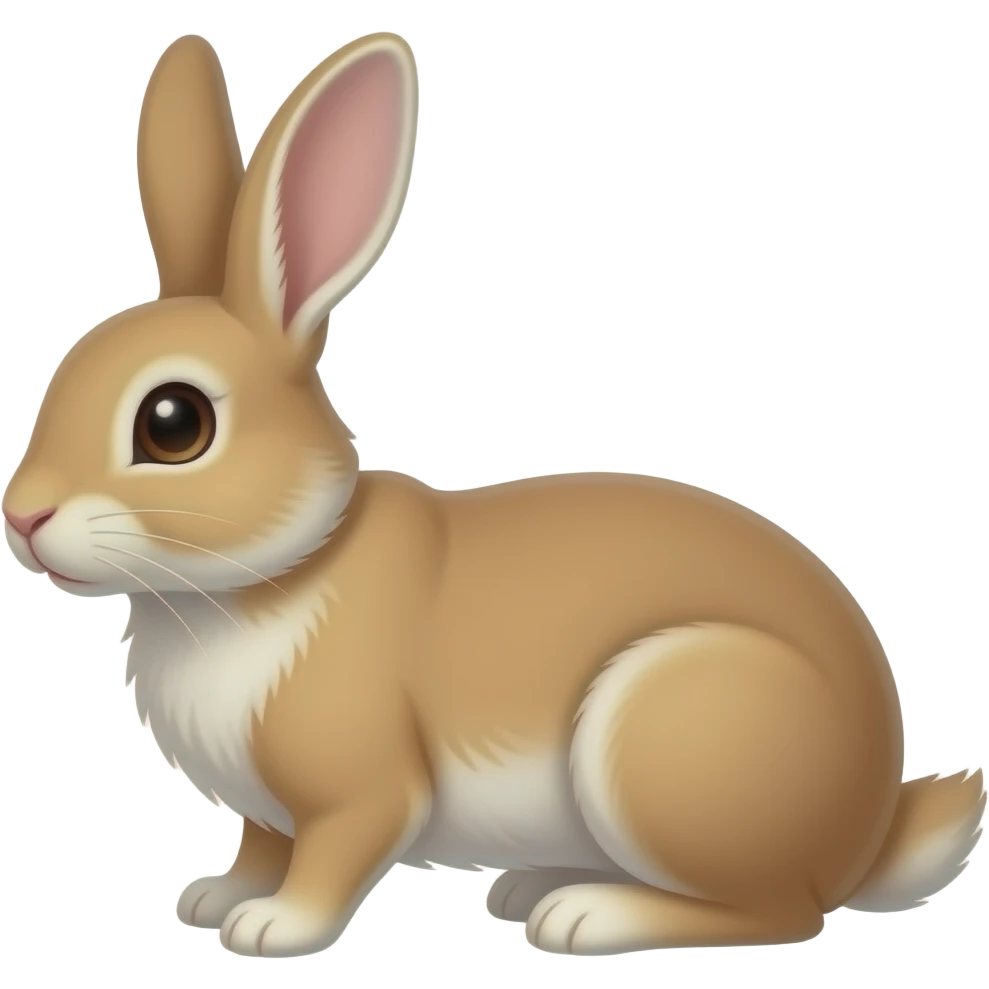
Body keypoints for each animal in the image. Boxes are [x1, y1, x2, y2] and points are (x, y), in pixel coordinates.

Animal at [3, 31, 984, 960]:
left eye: (174, 424)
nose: (23, 515)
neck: (272, 573)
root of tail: (866, 828)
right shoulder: (265, 810)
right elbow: (259, 844)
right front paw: (215, 897)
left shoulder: (359, 790)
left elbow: (331, 854)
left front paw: (273, 927)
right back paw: (531, 886)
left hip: (669, 733)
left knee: (779, 911)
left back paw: (586, 914)